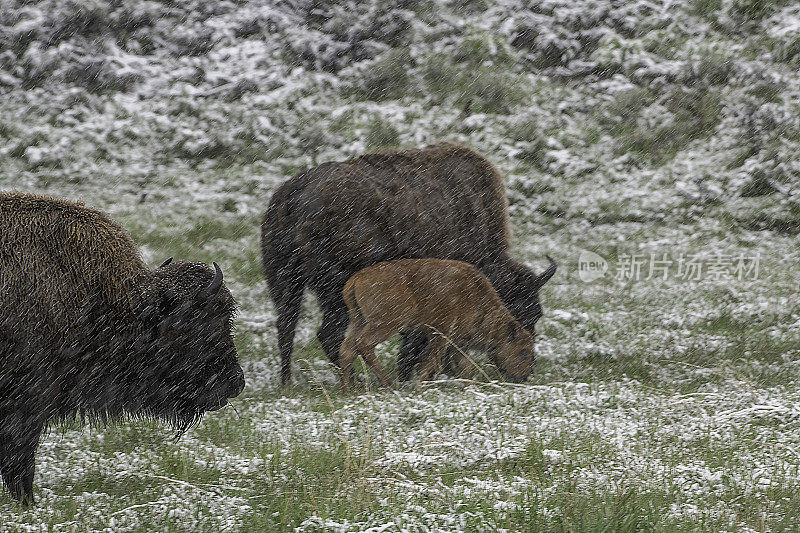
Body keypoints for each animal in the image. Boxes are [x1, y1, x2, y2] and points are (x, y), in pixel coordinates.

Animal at [340, 258, 536, 390]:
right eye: (524, 352)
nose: (524, 376)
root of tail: (357, 277)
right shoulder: (440, 334)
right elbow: (430, 362)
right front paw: (420, 387)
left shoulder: (458, 343)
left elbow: (467, 367)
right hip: (388, 322)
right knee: (363, 343)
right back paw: (387, 383)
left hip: (358, 319)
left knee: (347, 348)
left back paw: (347, 389)